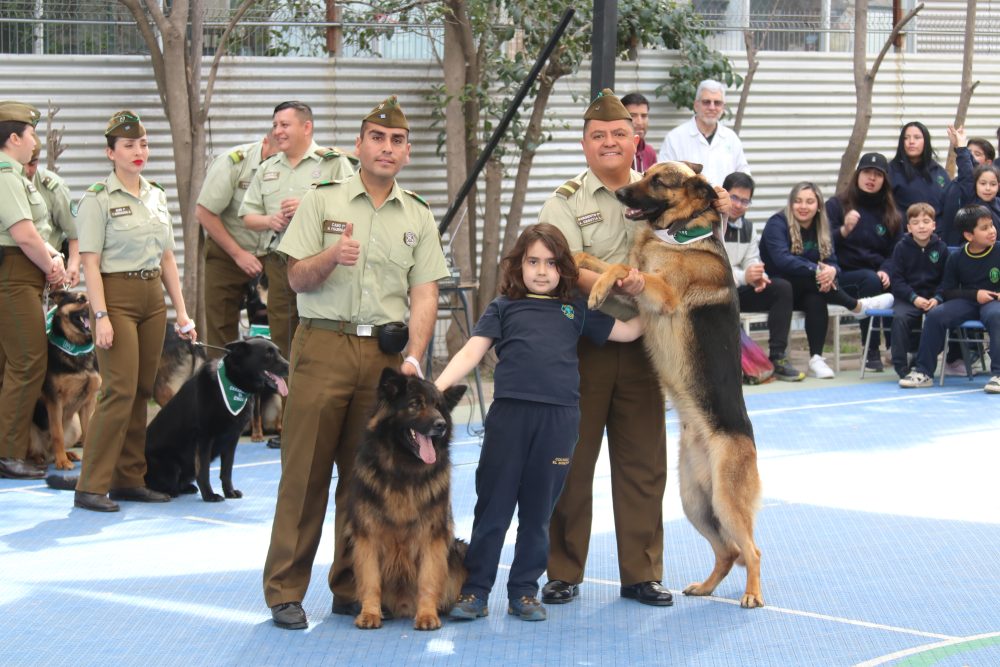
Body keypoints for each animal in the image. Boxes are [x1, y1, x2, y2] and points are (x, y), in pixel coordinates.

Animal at [28, 290, 100, 470]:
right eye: (80, 299)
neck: (77, 349)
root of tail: (46, 452)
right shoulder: (54, 400)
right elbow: (57, 433)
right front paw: (62, 462)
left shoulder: (88, 402)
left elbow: (88, 432)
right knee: (31, 451)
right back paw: (39, 460)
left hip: (74, 425)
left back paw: (68, 454)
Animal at [580, 162, 764, 612]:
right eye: (644, 173)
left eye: (659, 181)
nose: (620, 193)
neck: (678, 234)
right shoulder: (639, 293)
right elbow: (599, 260)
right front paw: (573, 261)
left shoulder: (658, 292)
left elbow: (619, 270)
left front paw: (596, 291)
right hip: (694, 502)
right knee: (728, 551)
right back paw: (705, 588)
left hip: (726, 504)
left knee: (751, 550)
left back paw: (752, 594)